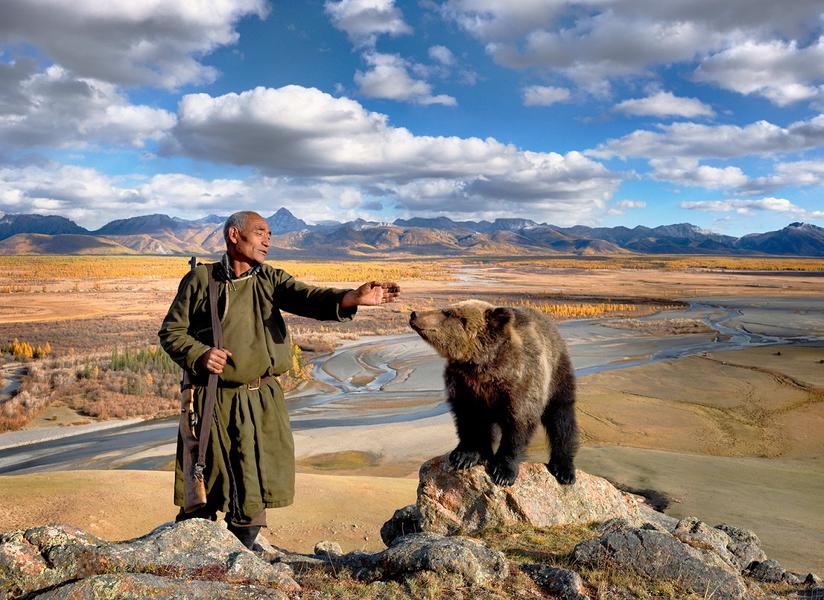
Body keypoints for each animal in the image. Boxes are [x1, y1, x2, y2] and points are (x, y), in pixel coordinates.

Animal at [409, 299, 579, 486]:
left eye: (447, 313)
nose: (414, 314)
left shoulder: (520, 383)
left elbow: (518, 425)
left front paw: (503, 472)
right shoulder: (464, 385)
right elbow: (467, 419)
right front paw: (464, 456)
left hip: (557, 375)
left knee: (561, 419)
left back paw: (564, 469)